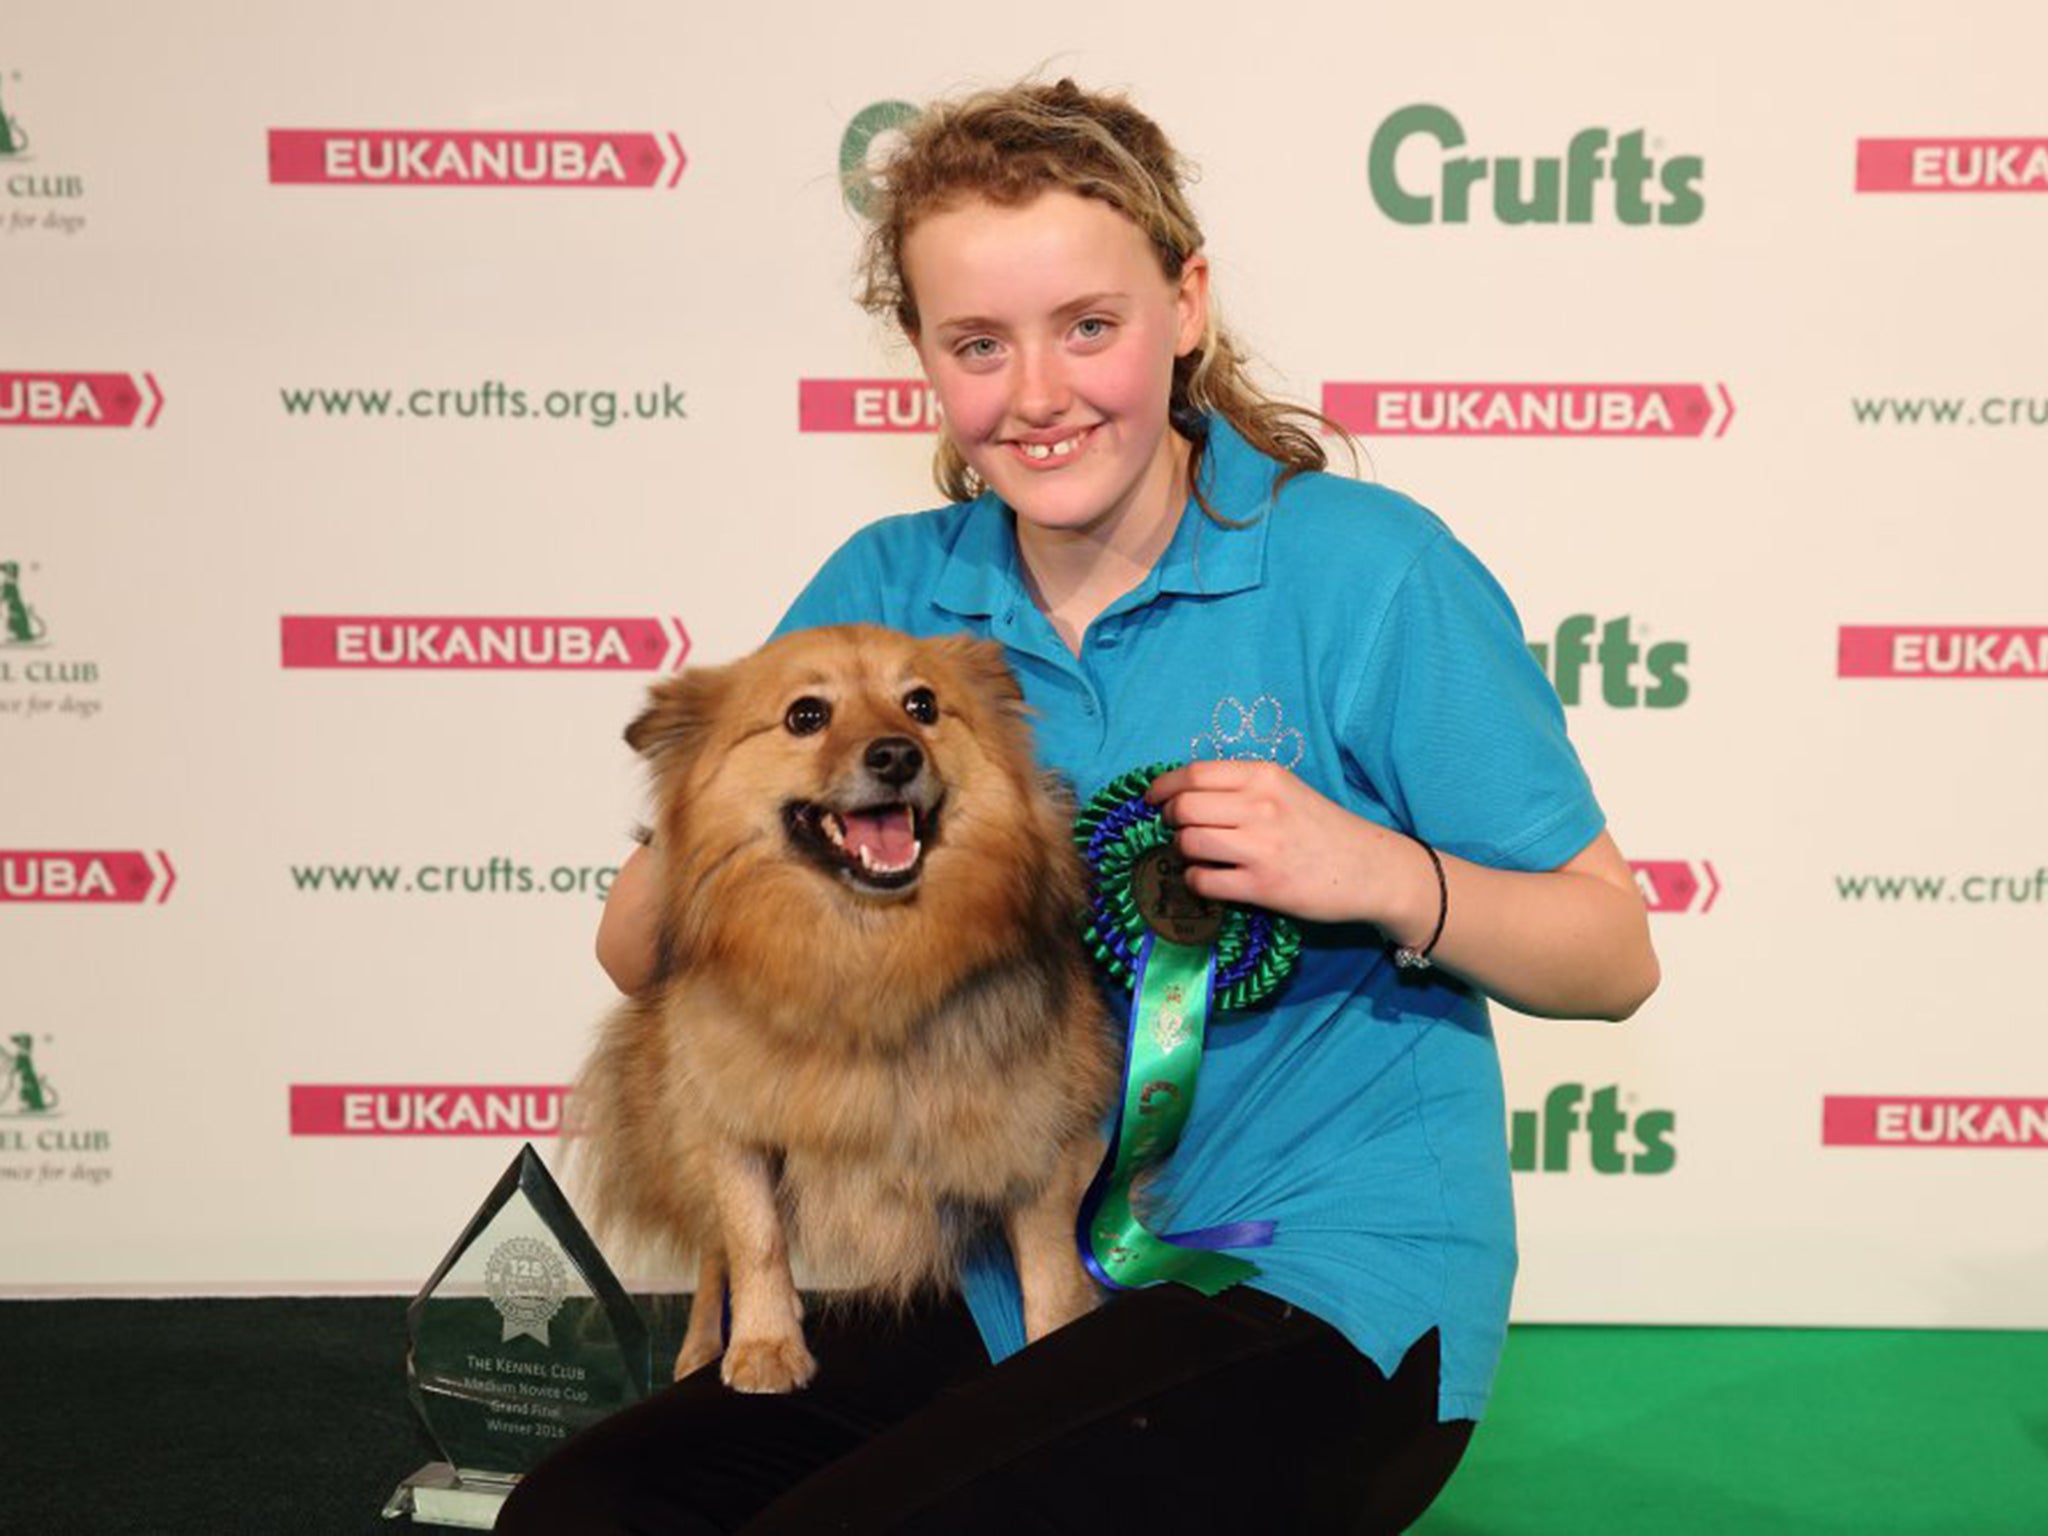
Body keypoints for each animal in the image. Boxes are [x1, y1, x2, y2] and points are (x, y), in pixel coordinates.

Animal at [569, 622, 1122, 1392]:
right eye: (807, 716)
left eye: (922, 705)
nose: (896, 755)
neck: (870, 952)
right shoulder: (730, 1117)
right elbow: (752, 1236)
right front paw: (765, 1345)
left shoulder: (1038, 1131)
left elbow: (1051, 1272)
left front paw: (1055, 1348)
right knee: (712, 1250)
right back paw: (703, 1347)